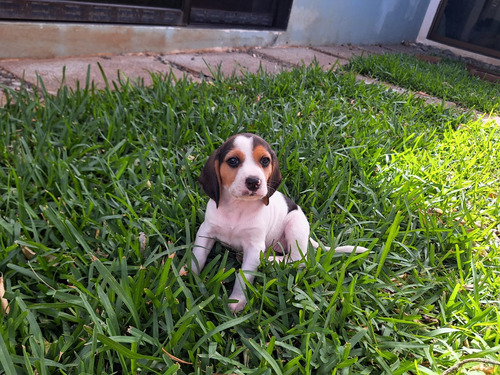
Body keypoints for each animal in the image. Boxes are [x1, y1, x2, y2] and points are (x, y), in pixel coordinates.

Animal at [188, 134, 368, 312]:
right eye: (233, 161)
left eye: (265, 161)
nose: (254, 182)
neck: (238, 207)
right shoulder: (205, 231)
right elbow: (198, 256)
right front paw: (188, 274)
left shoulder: (255, 247)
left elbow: (244, 276)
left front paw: (237, 300)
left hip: (294, 225)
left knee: (297, 259)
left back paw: (269, 259)